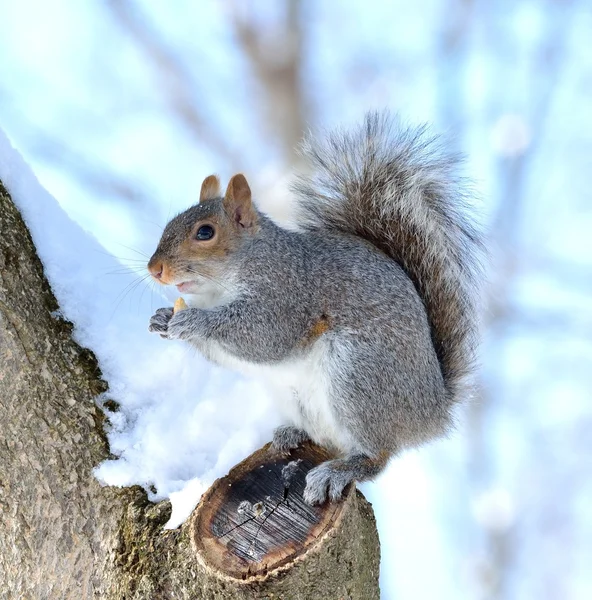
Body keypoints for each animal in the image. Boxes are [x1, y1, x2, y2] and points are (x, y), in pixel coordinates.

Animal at [147, 113, 480, 506]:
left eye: (205, 232)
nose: (154, 269)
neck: (219, 290)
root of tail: (433, 411)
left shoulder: (288, 296)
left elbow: (263, 338)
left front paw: (195, 320)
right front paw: (162, 318)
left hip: (359, 377)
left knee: (377, 456)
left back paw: (339, 471)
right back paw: (293, 434)